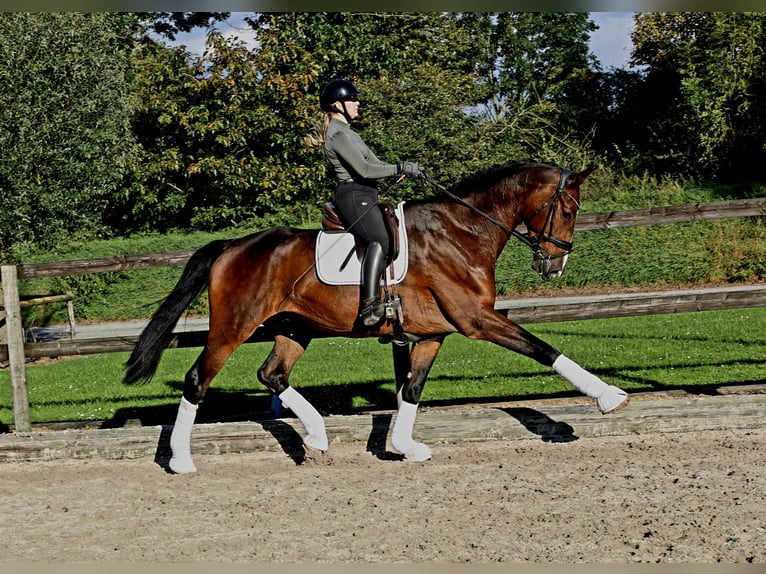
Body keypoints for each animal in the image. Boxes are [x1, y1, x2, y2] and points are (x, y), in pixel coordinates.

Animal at [124, 160, 632, 474]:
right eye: (568, 209)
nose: (554, 266)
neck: (462, 230)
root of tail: (231, 246)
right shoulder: (477, 319)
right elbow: (543, 348)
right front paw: (609, 397)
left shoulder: (433, 333)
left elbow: (411, 389)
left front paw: (406, 447)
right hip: (233, 327)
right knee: (198, 380)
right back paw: (181, 461)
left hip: (295, 328)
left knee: (272, 374)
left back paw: (318, 437)